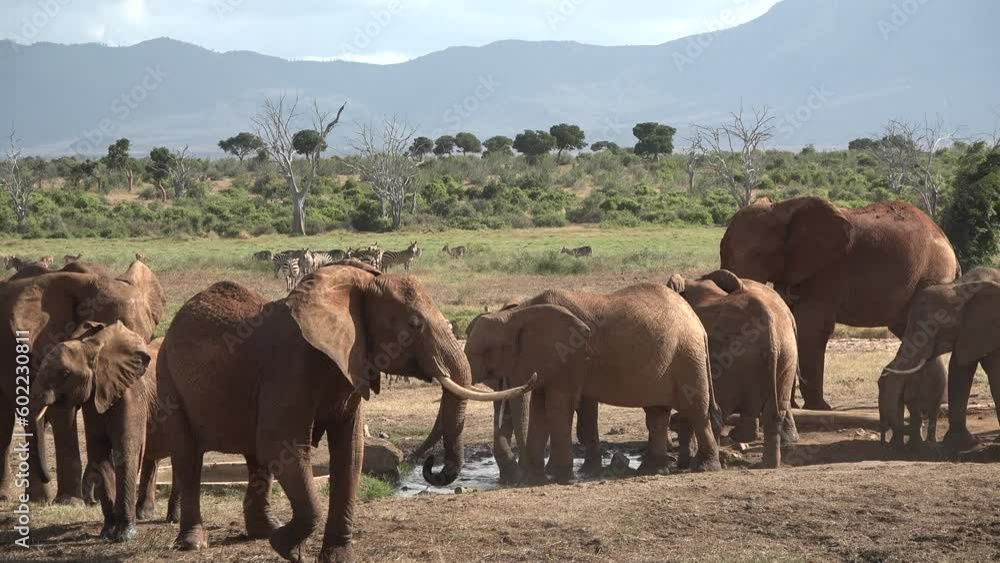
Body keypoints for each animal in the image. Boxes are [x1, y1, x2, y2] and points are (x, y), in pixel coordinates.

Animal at [29, 322, 177, 541]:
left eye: (65, 374)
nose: (47, 477)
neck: (92, 348)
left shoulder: (131, 394)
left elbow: (125, 452)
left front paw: (125, 535)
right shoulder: (93, 400)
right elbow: (100, 455)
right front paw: (107, 533)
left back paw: (173, 518)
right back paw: (145, 514)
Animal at [157, 260, 532, 562]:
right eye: (415, 324)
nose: (430, 465)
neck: (358, 282)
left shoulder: (351, 363)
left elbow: (349, 451)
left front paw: (331, 555)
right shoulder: (290, 367)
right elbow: (283, 445)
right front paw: (286, 548)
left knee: (256, 458)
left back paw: (263, 530)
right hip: (168, 375)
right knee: (188, 455)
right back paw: (194, 543)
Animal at [463, 284, 723, 484]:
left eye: (487, 351)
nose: (519, 475)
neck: (517, 313)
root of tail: (698, 323)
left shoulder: (571, 355)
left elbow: (558, 405)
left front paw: (560, 479)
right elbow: (540, 408)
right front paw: (535, 481)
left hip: (687, 357)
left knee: (696, 409)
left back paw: (704, 468)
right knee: (658, 413)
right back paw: (652, 470)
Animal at [665, 269, 799, 468]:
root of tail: (770, 329)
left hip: (732, 359)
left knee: (720, 409)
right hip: (786, 355)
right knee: (772, 411)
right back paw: (767, 462)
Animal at [720, 197, 960, 410]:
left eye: (757, 254)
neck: (782, 208)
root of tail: (948, 243)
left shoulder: (826, 273)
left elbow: (812, 329)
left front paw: (818, 408)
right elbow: (794, 323)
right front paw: (792, 406)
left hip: (931, 275)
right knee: (911, 332)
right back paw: (938, 402)